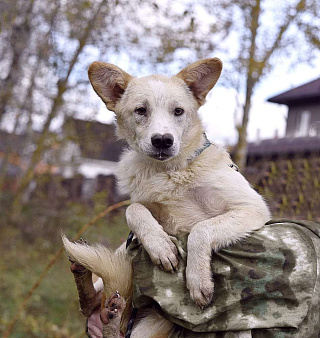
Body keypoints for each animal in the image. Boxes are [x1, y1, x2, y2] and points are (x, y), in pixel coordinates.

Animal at [63, 58, 270, 338]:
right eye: (141, 110)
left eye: (178, 111)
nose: (162, 140)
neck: (171, 171)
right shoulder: (146, 209)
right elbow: (134, 210)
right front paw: (160, 247)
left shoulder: (251, 208)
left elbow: (201, 230)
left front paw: (198, 279)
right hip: (123, 263)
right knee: (91, 302)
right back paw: (86, 279)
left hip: (155, 324)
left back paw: (111, 313)